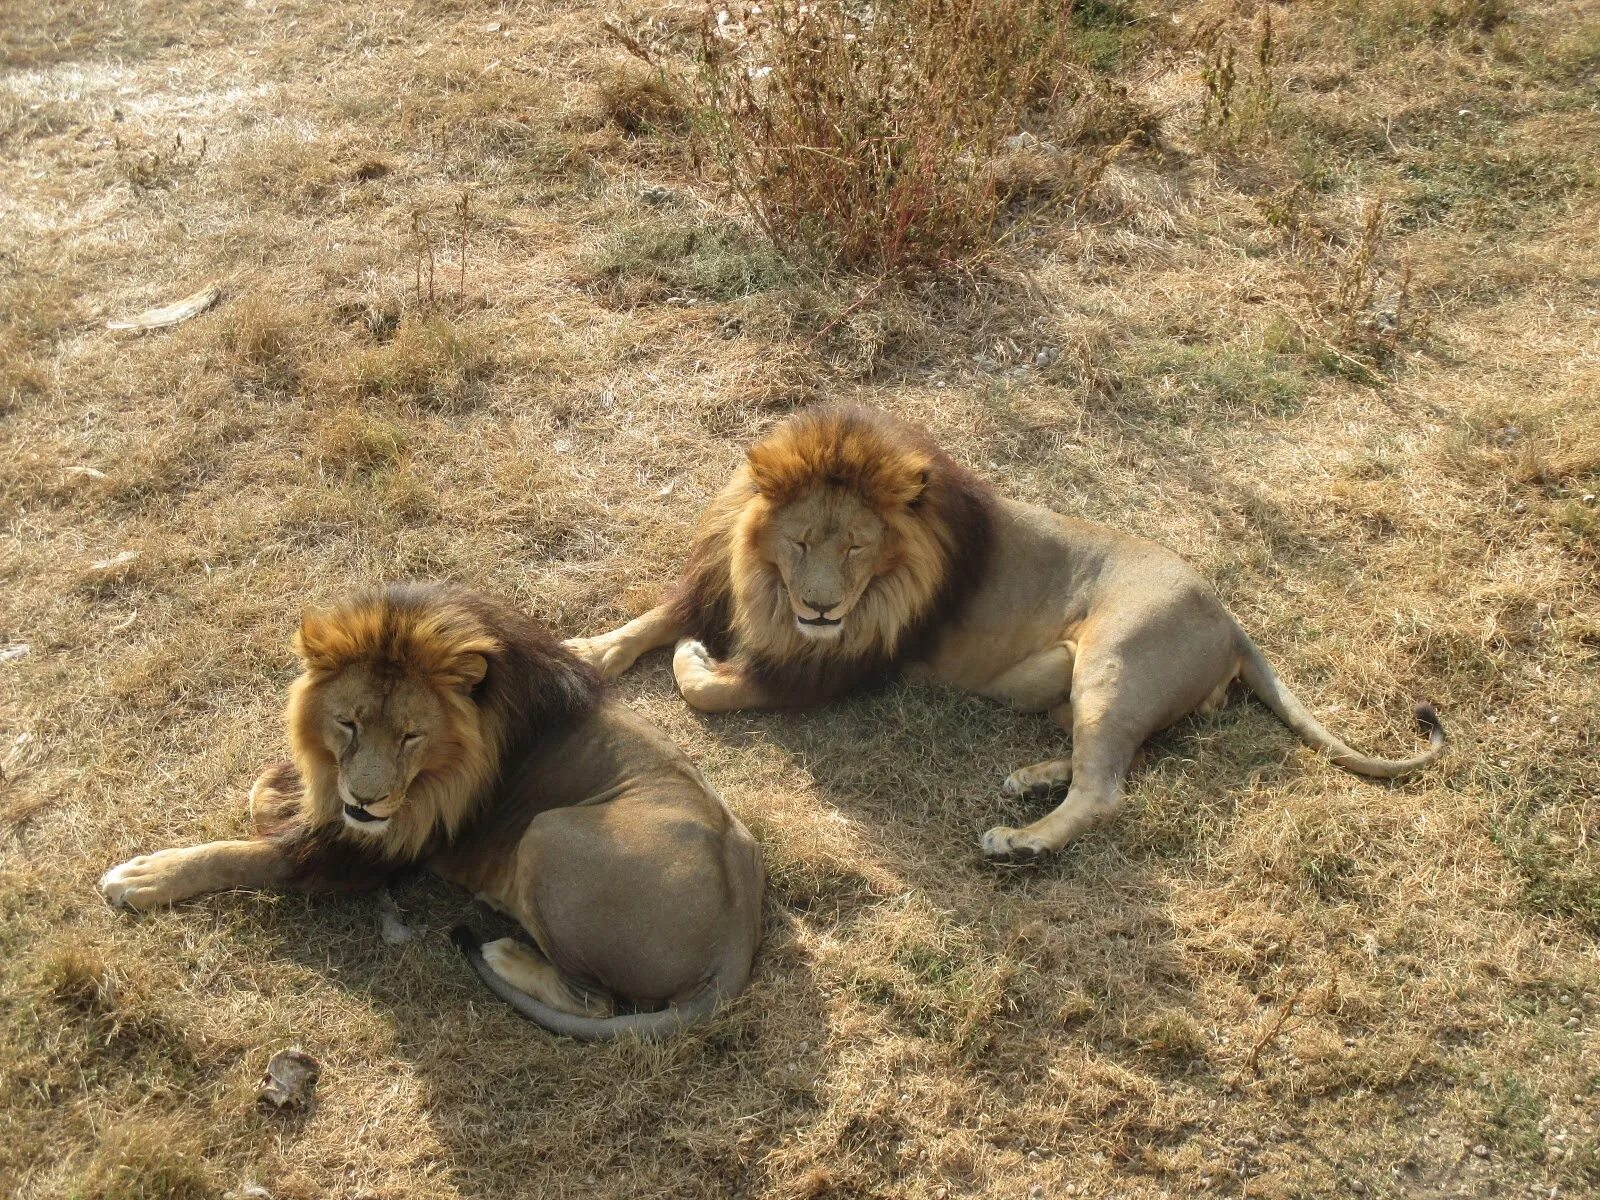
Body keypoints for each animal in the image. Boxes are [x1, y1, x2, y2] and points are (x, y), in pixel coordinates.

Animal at [96, 582, 764, 1043]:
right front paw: (280, 796)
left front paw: (147, 875)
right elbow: (264, 791)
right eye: (348, 723)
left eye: (411, 735)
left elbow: (243, 856)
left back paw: (503, 951)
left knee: (596, 1000)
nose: (364, 801)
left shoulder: (379, 849)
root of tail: (737, 935)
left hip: (549, 833)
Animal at [569, 409, 1446, 857]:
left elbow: (708, 689)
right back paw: (1028, 779)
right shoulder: (725, 585)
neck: (768, 586)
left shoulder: (835, 664)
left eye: (855, 546)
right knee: (1114, 759)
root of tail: (1231, 620)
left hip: (1117, 662)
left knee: (1106, 789)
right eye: (803, 540)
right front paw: (589, 650)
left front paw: (693, 660)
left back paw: (1020, 840)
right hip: (1096, 693)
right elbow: (658, 614)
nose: (820, 610)